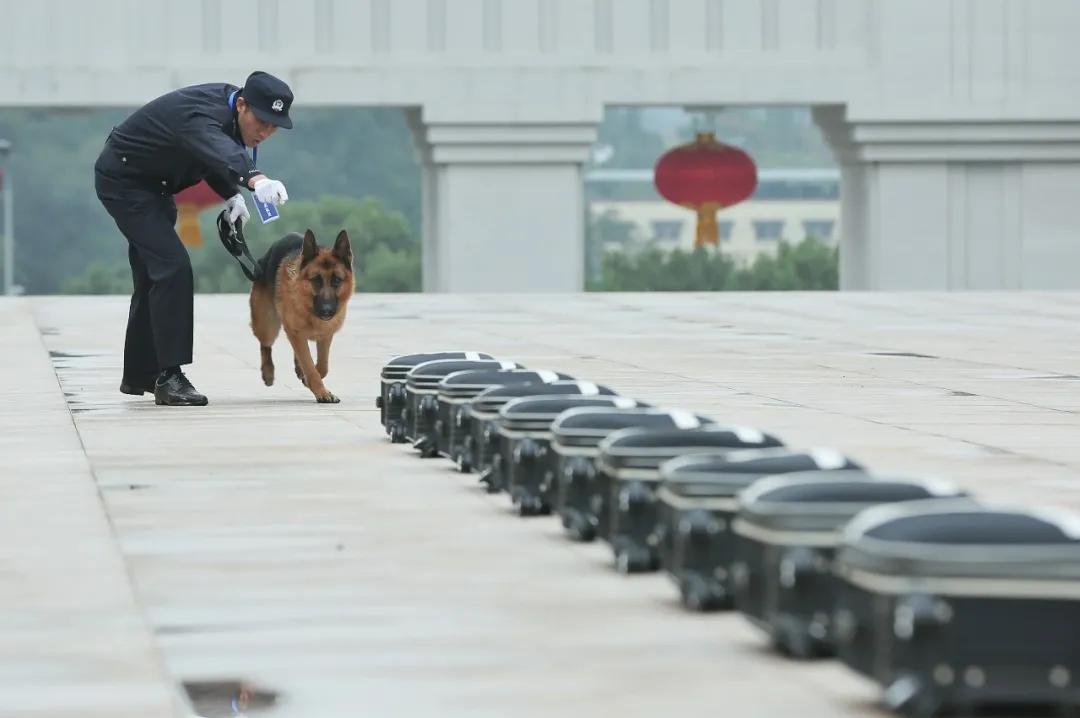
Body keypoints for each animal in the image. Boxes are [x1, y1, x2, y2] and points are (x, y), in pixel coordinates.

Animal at [247, 226, 349, 399]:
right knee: (265, 345)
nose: (327, 310)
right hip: (267, 325)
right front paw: (321, 391)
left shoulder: (326, 335)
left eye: (336, 280)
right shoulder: (295, 332)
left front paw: (309, 379)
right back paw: (268, 373)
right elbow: (310, 366)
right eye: (316, 280)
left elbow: (322, 366)